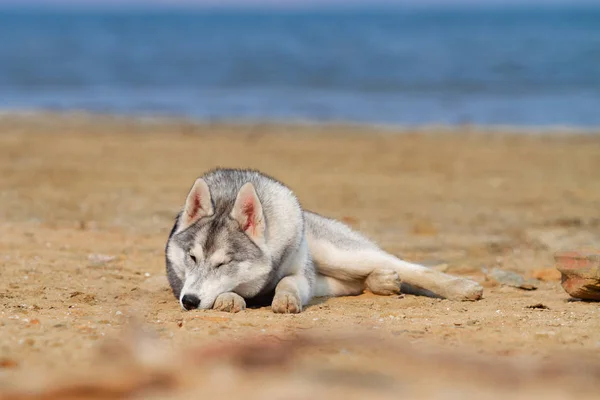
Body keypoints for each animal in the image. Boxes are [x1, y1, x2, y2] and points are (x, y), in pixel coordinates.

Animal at [164, 168, 482, 312]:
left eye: (223, 264)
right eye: (192, 257)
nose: (189, 301)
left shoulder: (299, 274)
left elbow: (287, 282)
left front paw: (285, 298)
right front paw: (229, 298)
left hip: (340, 255)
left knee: (409, 267)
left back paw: (461, 287)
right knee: (357, 282)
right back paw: (381, 281)